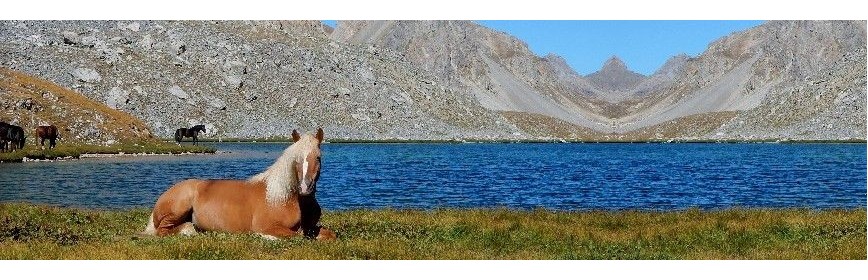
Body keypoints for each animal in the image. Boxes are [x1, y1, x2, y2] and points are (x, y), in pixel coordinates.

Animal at [142, 128, 336, 240]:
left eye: (318, 158)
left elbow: (329, 234)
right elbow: (297, 236)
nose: (304, 188)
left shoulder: (311, 228)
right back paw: (188, 231)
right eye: (295, 159)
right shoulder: (267, 226)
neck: (285, 196)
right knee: (163, 230)